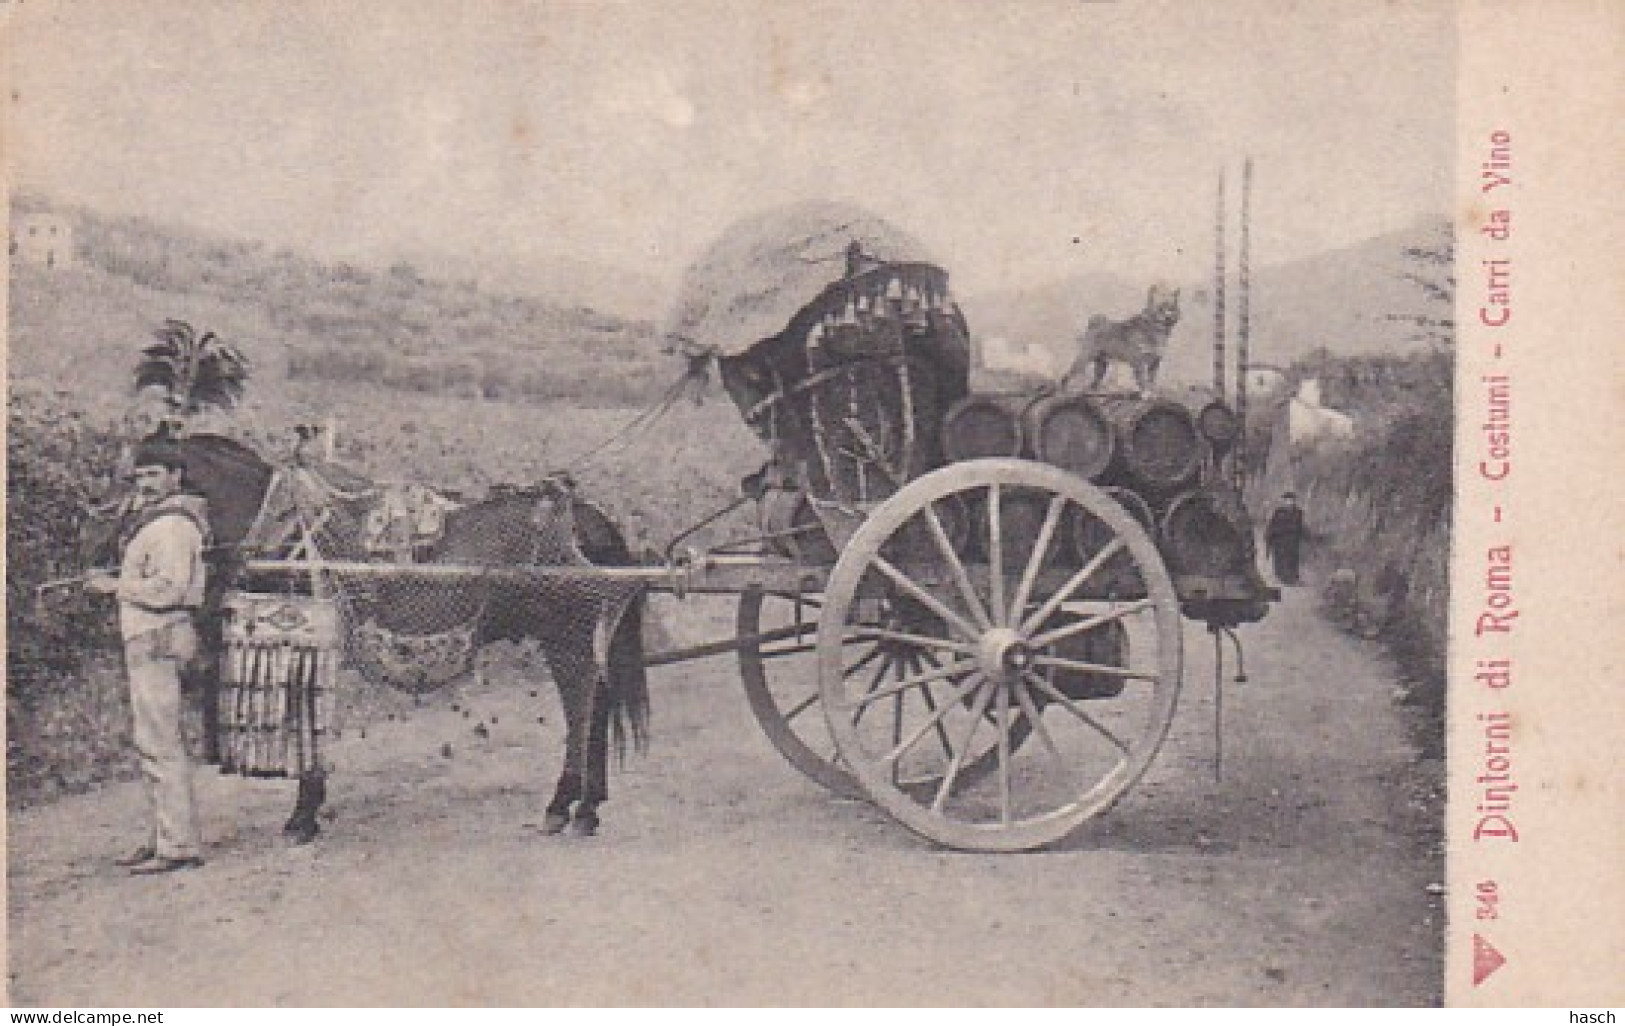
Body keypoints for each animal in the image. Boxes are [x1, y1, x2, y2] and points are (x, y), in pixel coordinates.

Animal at [82, 432, 650, 845]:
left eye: (133, 474)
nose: (94, 527)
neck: (283, 534)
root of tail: (589, 517)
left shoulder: (305, 640)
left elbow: (304, 726)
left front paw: (303, 815)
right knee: (596, 705)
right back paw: (587, 807)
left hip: (567, 636)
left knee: (583, 708)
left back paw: (564, 805)